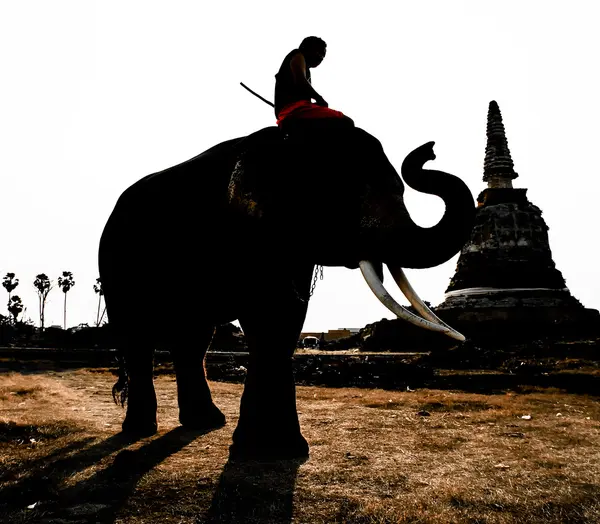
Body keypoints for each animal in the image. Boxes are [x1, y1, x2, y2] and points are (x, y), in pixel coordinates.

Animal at [97, 124, 474, 458]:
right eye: (343, 194)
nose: (429, 150)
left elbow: (287, 317)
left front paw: (276, 450)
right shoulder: (248, 234)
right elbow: (267, 316)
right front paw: (264, 449)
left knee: (193, 339)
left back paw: (205, 422)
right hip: (116, 268)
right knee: (137, 337)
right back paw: (140, 429)